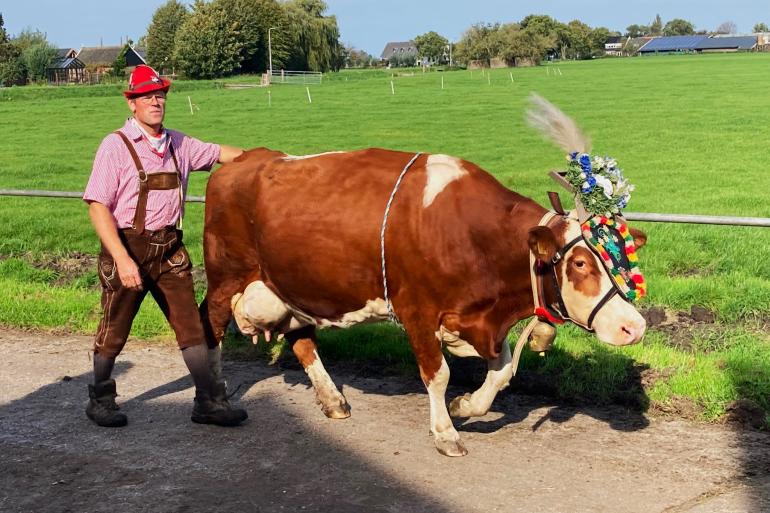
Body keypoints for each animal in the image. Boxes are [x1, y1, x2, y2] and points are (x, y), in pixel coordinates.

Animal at [196, 96, 640, 456]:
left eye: (620, 256)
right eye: (580, 263)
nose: (633, 327)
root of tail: (246, 159)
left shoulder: (478, 319)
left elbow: (501, 372)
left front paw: (466, 406)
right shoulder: (417, 310)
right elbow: (438, 374)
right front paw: (445, 433)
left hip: (291, 283)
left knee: (302, 339)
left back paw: (333, 401)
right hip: (225, 276)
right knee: (210, 327)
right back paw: (213, 402)